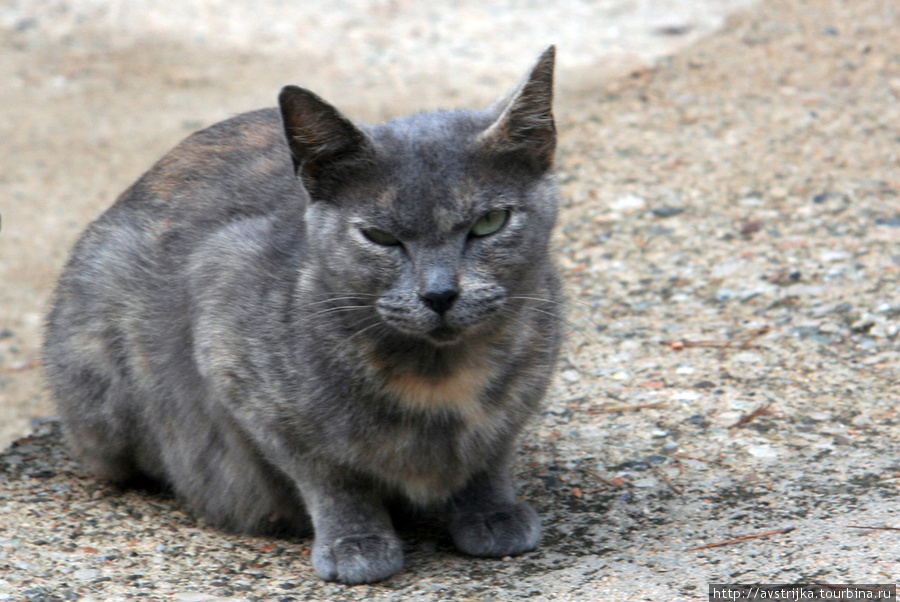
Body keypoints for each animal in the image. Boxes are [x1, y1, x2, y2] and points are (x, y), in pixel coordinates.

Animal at [44, 45, 564, 580]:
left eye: (490, 222)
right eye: (380, 237)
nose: (439, 293)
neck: (439, 377)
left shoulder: (528, 380)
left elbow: (490, 452)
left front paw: (492, 511)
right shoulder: (234, 352)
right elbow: (329, 474)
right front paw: (357, 541)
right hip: (101, 388)